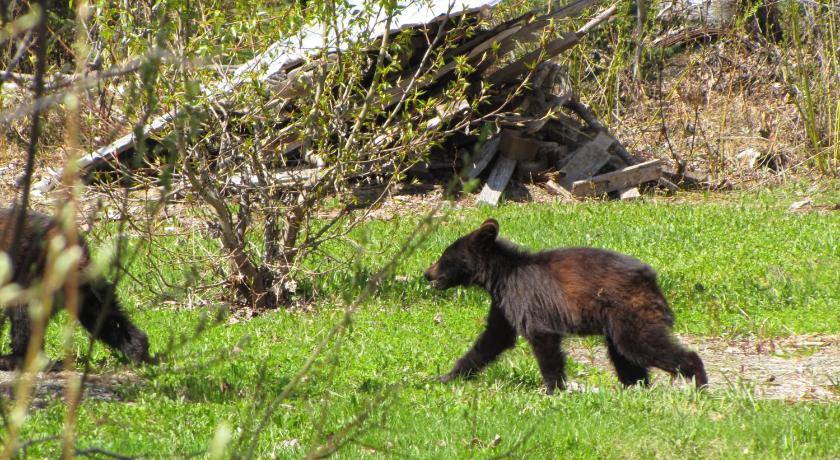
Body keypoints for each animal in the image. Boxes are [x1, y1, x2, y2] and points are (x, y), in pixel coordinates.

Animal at [0, 207, 150, 370]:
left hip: (38, 272)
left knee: (25, 312)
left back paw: (14, 359)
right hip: (80, 283)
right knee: (102, 313)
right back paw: (137, 349)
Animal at [424, 218, 707, 394]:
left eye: (444, 257)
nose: (426, 273)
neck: (501, 275)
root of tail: (651, 279)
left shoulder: (525, 297)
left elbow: (543, 339)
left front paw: (553, 390)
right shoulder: (504, 303)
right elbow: (492, 340)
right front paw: (446, 376)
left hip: (630, 311)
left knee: (641, 345)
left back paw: (699, 382)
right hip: (616, 321)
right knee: (623, 354)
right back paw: (635, 387)